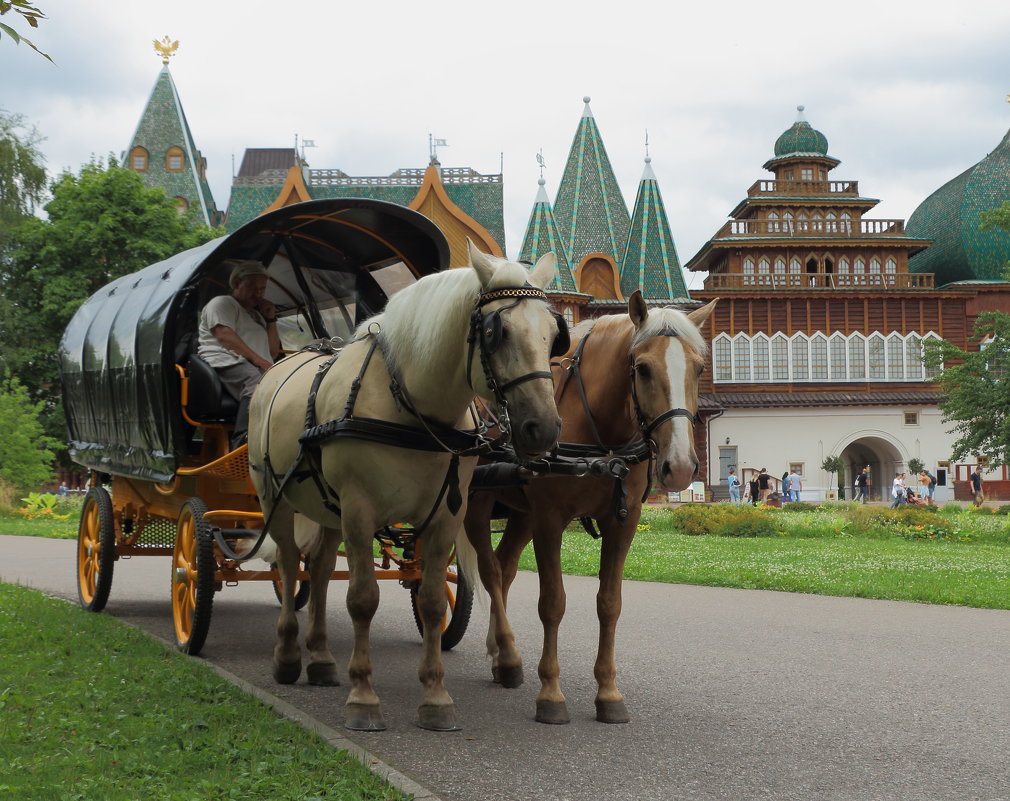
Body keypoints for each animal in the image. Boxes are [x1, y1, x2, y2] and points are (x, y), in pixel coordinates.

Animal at [244, 243, 561, 731]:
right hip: (275, 501)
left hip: (327, 508)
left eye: (553, 333)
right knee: (289, 564)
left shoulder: (445, 516)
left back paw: (321, 658)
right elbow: (362, 599)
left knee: (319, 570)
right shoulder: (359, 512)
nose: (542, 428)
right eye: (497, 332)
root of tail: (279, 365)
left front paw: (435, 697)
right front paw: (363, 696)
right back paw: (288, 656)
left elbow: (431, 601)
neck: (412, 408)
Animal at [462, 290, 715, 723]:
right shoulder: (549, 521)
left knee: (506, 567)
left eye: (698, 369)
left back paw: (501, 652)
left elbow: (609, 604)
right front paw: (551, 693)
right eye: (643, 369)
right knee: (491, 570)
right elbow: (553, 603)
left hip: (522, 514)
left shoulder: (622, 522)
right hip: (477, 504)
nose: (681, 466)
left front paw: (608, 692)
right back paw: (507, 655)